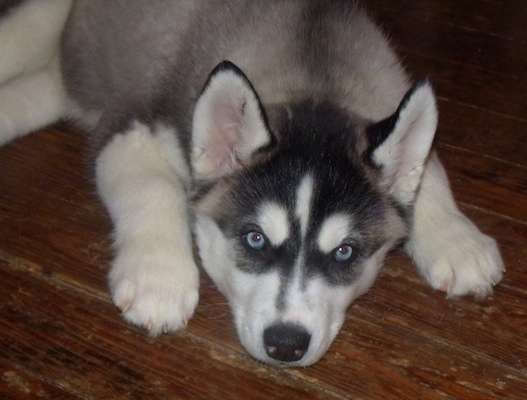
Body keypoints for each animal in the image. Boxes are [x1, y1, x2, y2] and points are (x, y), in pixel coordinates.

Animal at [0, 0, 506, 368]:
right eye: (255, 239)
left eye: (345, 253)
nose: (286, 344)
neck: (312, 73)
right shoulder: (132, 126)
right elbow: (152, 189)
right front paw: (158, 277)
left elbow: (428, 169)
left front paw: (458, 241)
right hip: (41, 24)